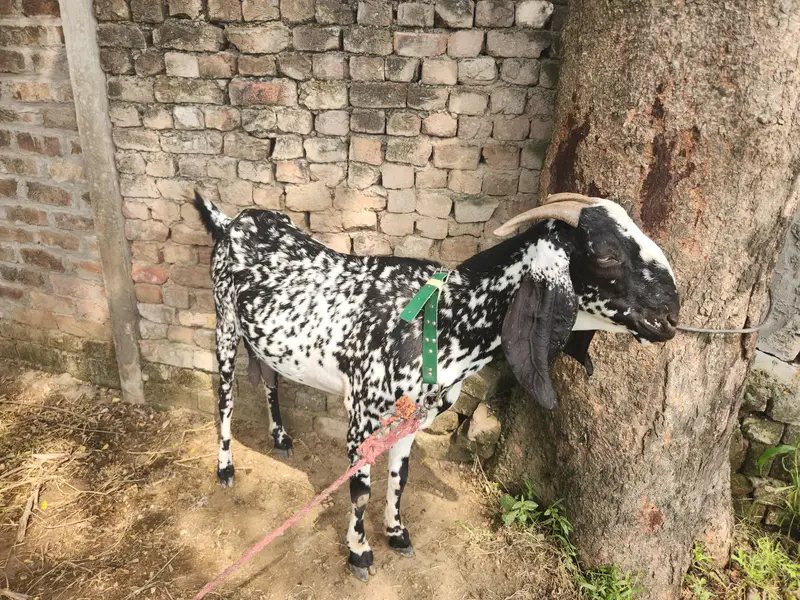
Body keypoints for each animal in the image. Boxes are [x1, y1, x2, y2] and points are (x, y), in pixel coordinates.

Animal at [193, 191, 680, 581]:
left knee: (269, 379)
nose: (671, 314)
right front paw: (360, 553)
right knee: (225, 398)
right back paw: (225, 468)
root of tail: (232, 220)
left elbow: (401, 475)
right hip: (224, 323)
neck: (442, 318)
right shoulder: (361, 414)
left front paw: (396, 533)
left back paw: (280, 437)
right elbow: (359, 488)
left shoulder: (414, 415)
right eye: (607, 254)